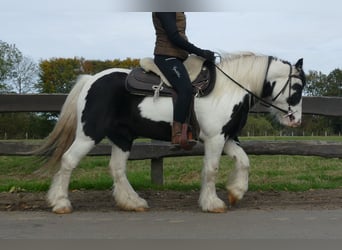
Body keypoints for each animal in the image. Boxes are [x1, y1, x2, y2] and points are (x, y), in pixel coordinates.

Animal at [36, 52, 304, 213]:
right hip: (88, 134)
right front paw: (212, 203)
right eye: (298, 87)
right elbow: (211, 169)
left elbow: (245, 161)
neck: (228, 88)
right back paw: (60, 203)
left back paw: (132, 202)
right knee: (68, 161)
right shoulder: (215, 139)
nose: (296, 120)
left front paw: (236, 192)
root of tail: (91, 79)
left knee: (117, 168)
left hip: (123, 138)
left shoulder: (226, 137)